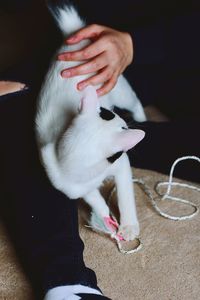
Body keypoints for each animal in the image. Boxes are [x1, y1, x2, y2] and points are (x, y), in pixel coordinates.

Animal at [35, 5, 146, 241]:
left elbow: (125, 195)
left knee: (135, 101)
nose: (125, 122)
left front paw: (128, 225)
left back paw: (142, 117)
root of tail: (75, 36)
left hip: (118, 87)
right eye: (111, 116)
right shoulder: (72, 186)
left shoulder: (121, 165)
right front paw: (106, 219)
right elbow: (94, 198)